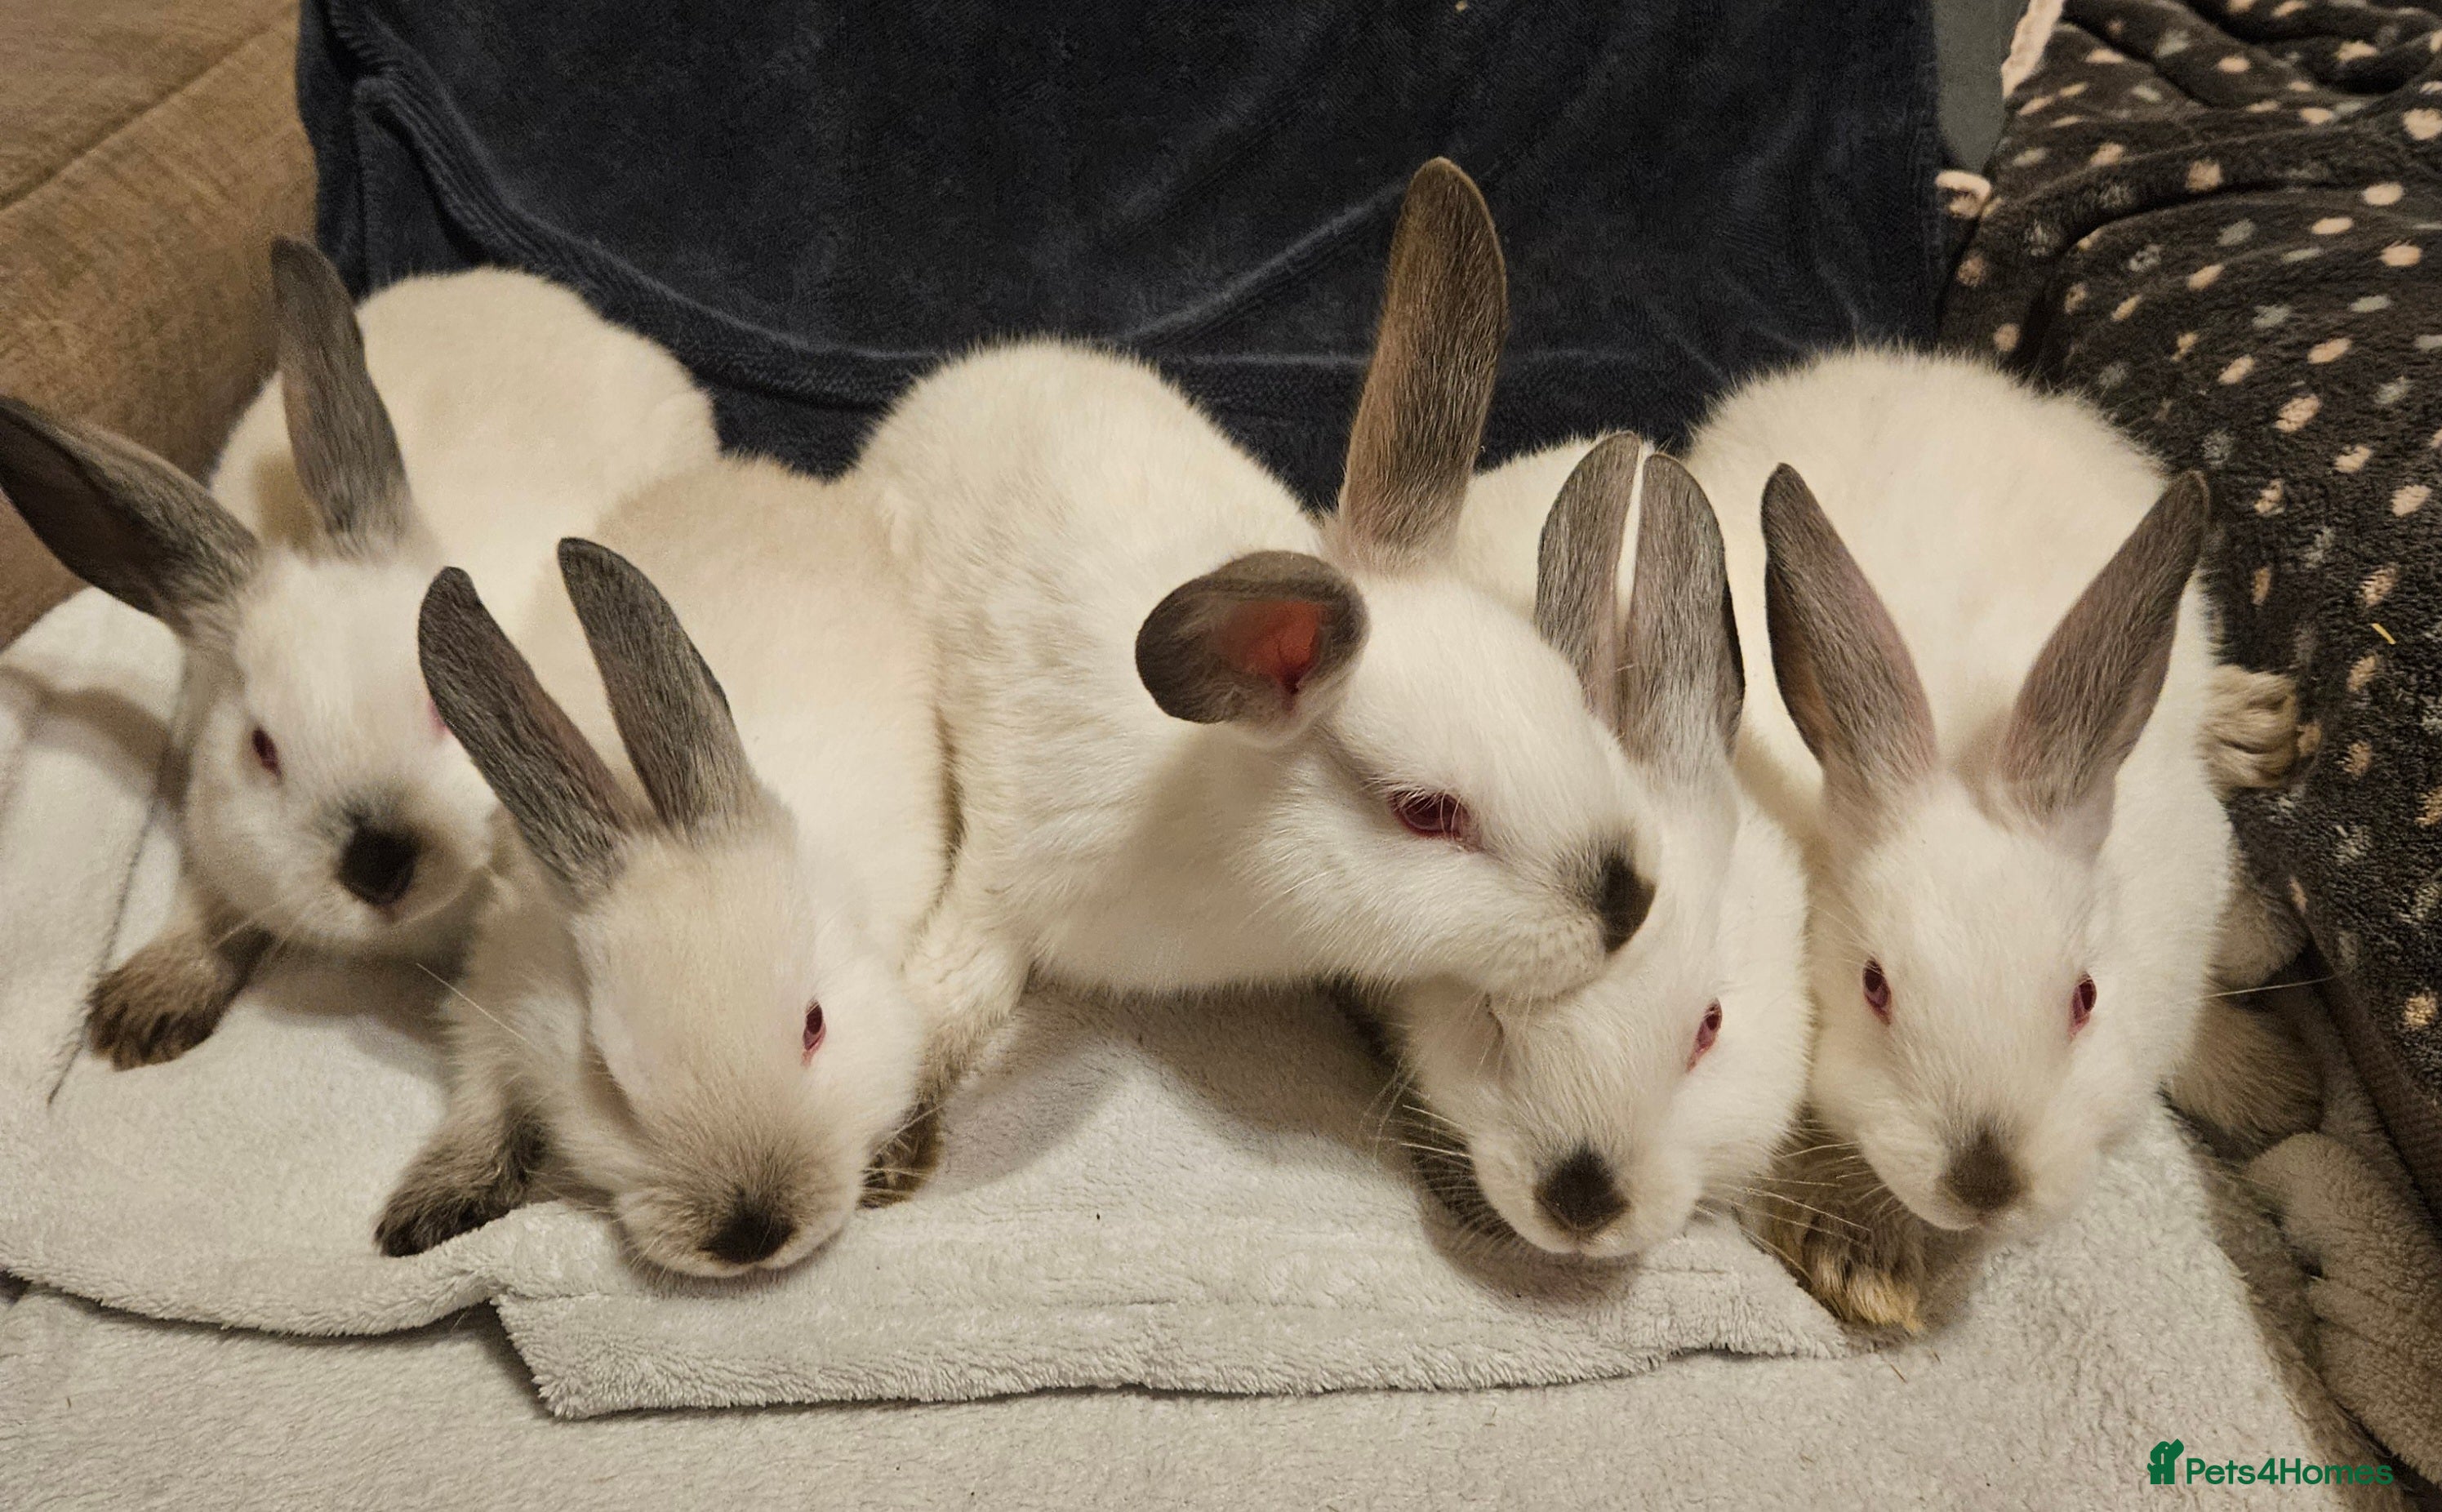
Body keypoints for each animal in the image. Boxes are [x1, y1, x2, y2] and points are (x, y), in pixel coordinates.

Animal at [379, 457, 943, 1273]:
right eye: (605, 1074)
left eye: (815, 1026)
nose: (752, 1235)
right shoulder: (498, 984)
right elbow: (482, 1092)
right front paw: (426, 1212)